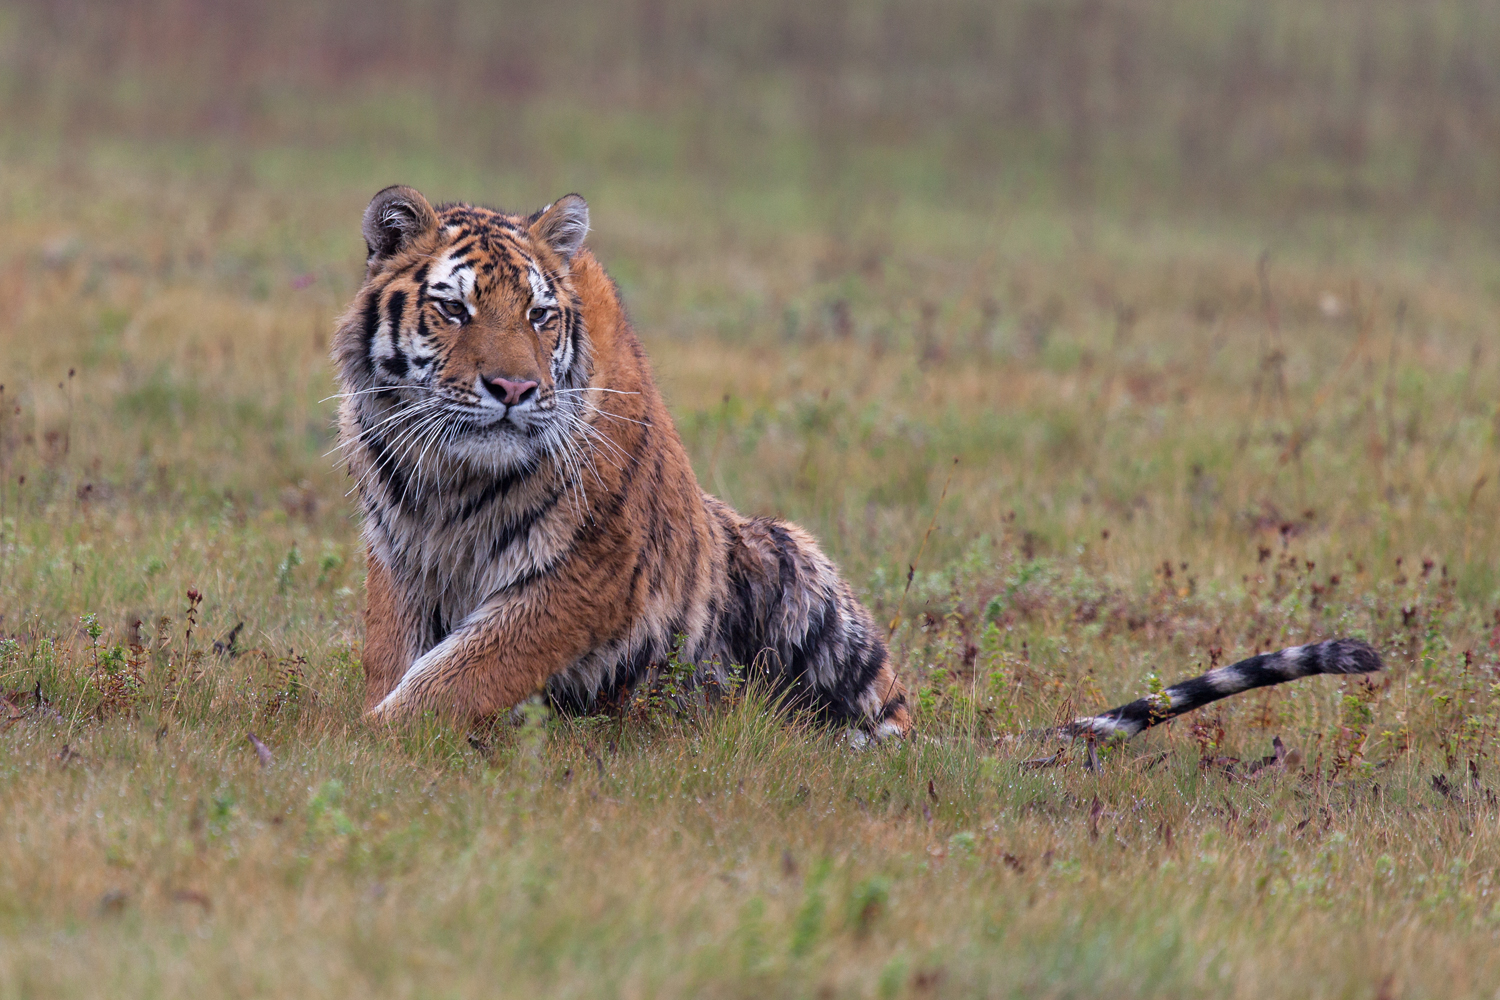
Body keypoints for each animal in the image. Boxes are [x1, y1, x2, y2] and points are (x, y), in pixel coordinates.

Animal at [331, 185, 1380, 743]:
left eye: (541, 316)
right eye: (455, 309)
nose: (512, 388)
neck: (452, 484)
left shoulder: (584, 573)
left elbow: (462, 672)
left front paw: (365, 746)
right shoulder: (398, 553)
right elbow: (400, 655)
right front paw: (366, 722)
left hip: (789, 565)